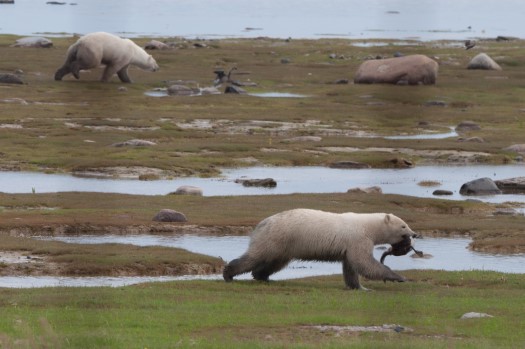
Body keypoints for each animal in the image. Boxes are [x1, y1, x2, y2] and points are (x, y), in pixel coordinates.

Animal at [224, 208, 418, 290]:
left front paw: (358, 287)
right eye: (403, 226)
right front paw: (399, 277)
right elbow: (364, 262)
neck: (368, 226)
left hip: (285, 244)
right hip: (278, 236)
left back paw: (262, 276)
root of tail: (262, 223)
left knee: (275, 261)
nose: (414, 234)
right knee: (256, 256)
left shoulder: (349, 245)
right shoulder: (358, 239)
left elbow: (350, 266)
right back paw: (229, 274)